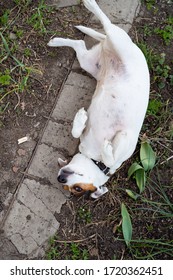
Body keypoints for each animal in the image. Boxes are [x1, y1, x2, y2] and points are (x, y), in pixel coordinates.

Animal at [48, 0, 149, 198]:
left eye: (77, 189)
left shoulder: (126, 139)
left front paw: (107, 148)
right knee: (93, 32)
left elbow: (112, 152)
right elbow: (76, 132)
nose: (60, 178)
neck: (96, 159)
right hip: (94, 57)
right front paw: (80, 119)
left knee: (99, 29)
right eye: (72, 188)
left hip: (105, 50)